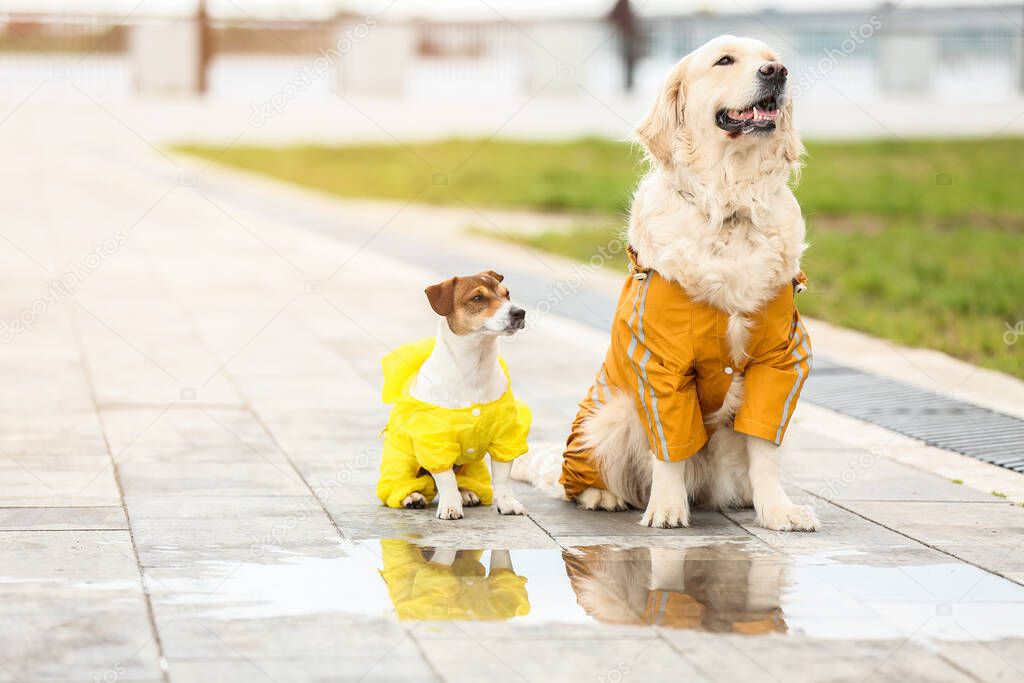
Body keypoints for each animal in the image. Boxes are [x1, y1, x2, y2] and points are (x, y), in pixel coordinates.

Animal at [516, 34, 819, 532]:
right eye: (724, 60)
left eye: (772, 59)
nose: (777, 72)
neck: (731, 206)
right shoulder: (660, 363)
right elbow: (670, 447)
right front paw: (667, 508)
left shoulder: (781, 359)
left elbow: (764, 446)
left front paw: (778, 510)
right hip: (612, 414)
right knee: (583, 481)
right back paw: (604, 496)